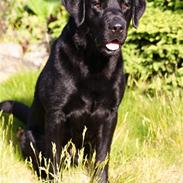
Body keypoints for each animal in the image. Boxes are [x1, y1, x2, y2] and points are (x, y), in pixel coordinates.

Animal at [0, 0, 146, 182]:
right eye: (97, 5)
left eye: (126, 5)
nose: (117, 27)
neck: (94, 62)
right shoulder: (56, 113)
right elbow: (53, 155)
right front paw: (54, 179)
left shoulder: (110, 114)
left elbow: (103, 156)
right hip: (29, 137)